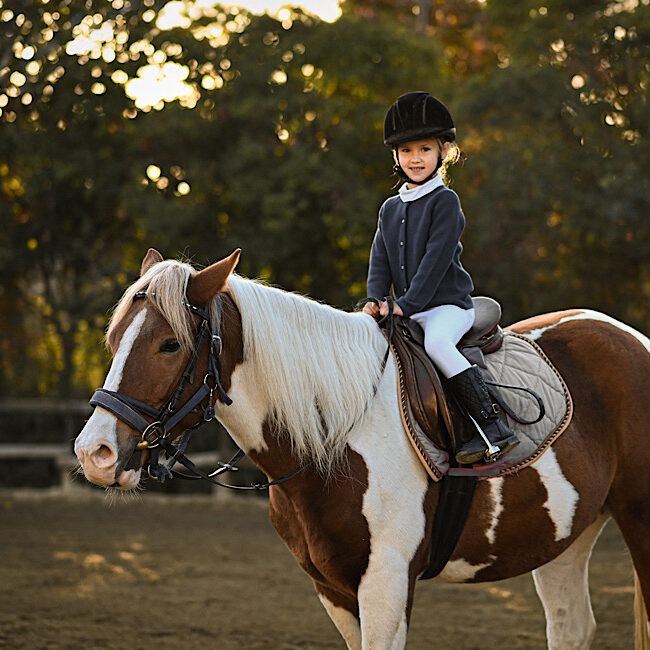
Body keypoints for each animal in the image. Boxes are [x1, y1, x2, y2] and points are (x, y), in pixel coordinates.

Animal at [75, 249, 650, 650]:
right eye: (115, 339)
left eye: (170, 344)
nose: (94, 452)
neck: (337, 439)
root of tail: (630, 338)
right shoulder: (333, 589)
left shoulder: (387, 582)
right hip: (566, 538)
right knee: (573, 628)